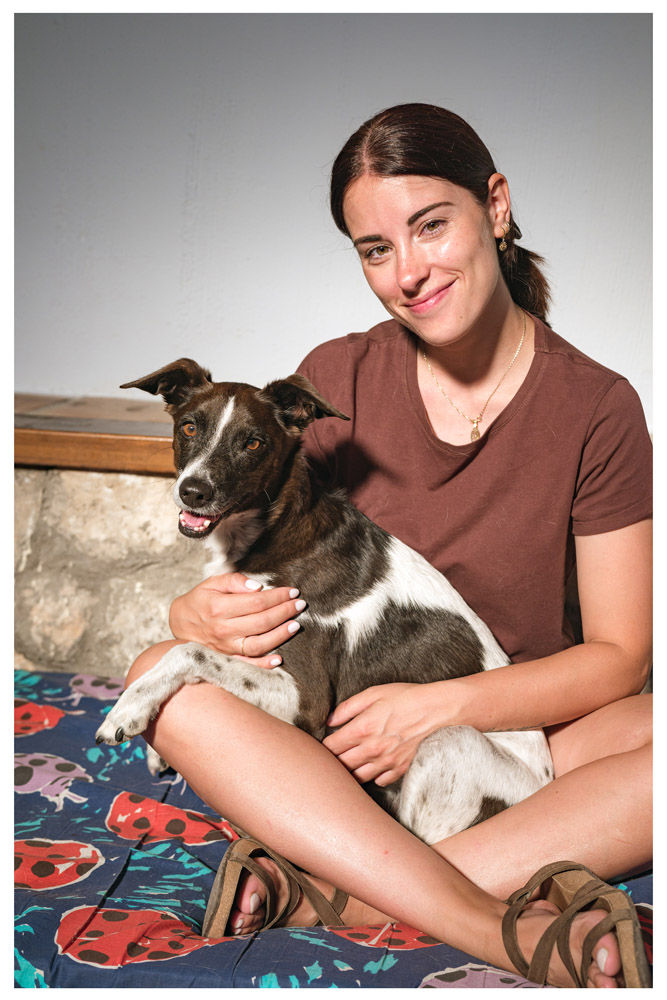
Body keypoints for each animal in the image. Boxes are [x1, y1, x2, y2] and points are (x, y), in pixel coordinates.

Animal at [96, 359, 554, 844]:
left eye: (253, 442)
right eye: (188, 427)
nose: (193, 491)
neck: (274, 531)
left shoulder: (307, 699)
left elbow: (190, 650)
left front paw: (129, 708)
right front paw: (155, 748)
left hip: (450, 743)